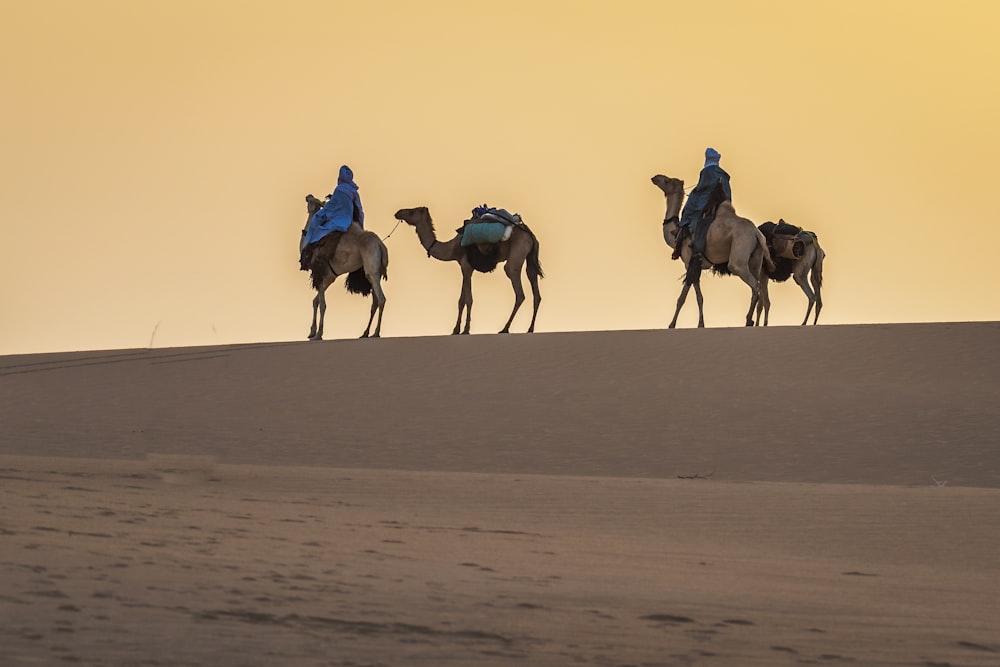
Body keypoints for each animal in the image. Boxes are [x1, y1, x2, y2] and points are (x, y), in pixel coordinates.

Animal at [300, 193, 386, 340]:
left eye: (313, 201)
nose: (308, 196)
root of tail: (381, 244)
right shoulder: (329, 277)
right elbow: (315, 301)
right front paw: (312, 332)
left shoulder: (320, 274)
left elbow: (322, 304)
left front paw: (318, 334)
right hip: (377, 272)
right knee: (375, 301)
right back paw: (365, 333)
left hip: (371, 268)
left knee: (381, 298)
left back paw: (376, 333)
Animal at [394, 206, 544, 334]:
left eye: (412, 212)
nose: (398, 213)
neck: (452, 247)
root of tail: (530, 235)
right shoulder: (463, 266)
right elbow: (461, 300)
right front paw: (455, 330)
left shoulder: (466, 266)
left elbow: (468, 299)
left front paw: (466, 330)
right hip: (530, 257)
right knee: (534, 286)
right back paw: (530, 329)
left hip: (516, 256)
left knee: (519, 291)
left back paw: (505, 329)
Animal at [648, 174, 772, 328]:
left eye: (666, 181)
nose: (654, 178)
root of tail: (756, 233)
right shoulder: (697, 265)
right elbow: (700, 297)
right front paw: (701, 324)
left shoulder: (689, 262)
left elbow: (682, 297)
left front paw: (672, 324)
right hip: (756, 258)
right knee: (759, 285)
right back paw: (751, 321)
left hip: (739, 252)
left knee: (754, 284)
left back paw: (748, 320)